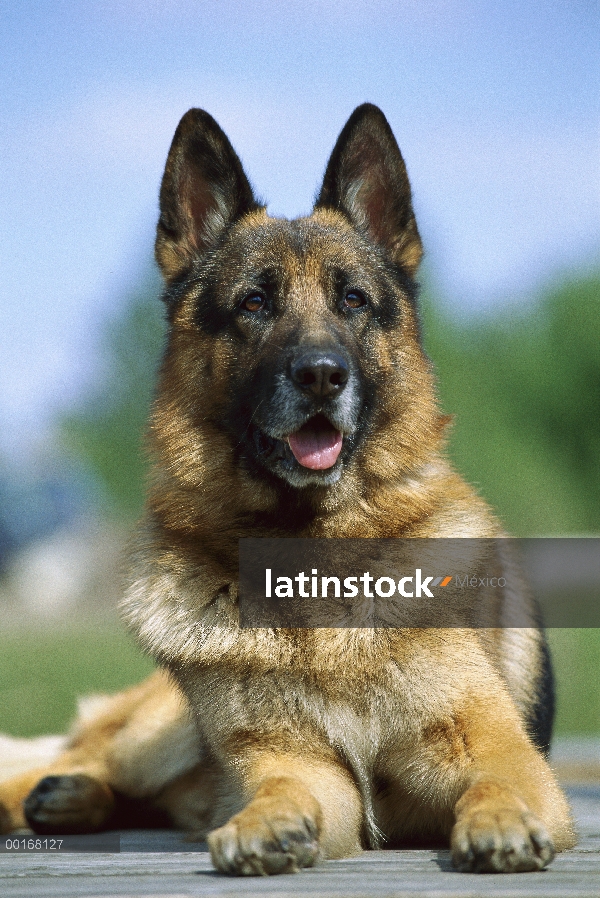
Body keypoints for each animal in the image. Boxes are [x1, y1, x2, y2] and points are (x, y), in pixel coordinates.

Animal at [0, 103, 576, 868]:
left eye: (354, 300)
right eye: (253, 304)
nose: (322, 375)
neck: (312, 554)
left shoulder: (494, 747)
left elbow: (499, 781)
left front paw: (502, 820)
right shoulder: (301, 766)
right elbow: (280, 787)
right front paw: (264, 822)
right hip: (156, 738)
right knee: (67, 762)